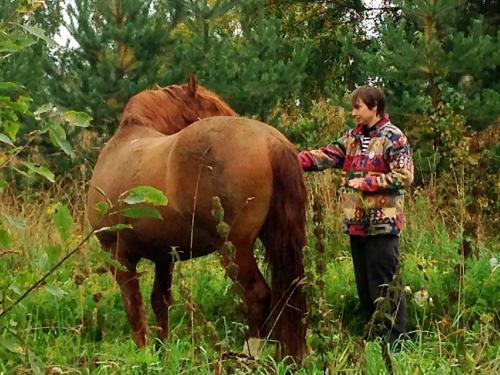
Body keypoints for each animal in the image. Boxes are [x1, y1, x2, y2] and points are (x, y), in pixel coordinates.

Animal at [87, 74, 306, 362]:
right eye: (211, 107)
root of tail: (269, 140)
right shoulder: (164, 257)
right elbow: (160, 301)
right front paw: (163, 353)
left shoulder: (118, 256)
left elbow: (134, 306)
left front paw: (144, 355)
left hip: (234, 248)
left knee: (257, 295)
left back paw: (250, 353)